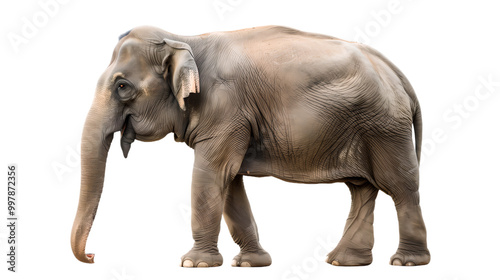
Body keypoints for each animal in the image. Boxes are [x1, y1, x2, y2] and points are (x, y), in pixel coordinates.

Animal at [69, 25, 430, 266]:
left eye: (122, 86)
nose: (93, 256)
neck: (186, 39)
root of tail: (399, 74)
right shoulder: (234, 119)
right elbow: (230, 181)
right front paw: (250, 263)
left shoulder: (225, 109)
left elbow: (212, 174)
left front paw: (194, 263)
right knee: (362, 189)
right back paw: (344, 262)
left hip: (385, 126)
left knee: (399, 186)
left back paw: (406, 262)